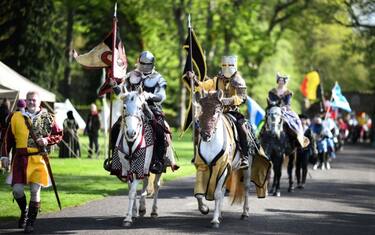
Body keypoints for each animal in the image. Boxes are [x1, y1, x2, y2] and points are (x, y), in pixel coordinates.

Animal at [117, 87, 177, 226]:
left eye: (140, 107)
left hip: (159, 166)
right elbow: (131, 189)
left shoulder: (140, 165)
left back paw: (154, 211)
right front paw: (133, 213)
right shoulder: (127, 168)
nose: (131, 133)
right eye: (124, 107)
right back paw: (142, 208)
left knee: (156, 185)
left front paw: (128, 218)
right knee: (145, 182)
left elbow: (133, 191)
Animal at [194, 89, 253, 228]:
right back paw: (220, 213)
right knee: (222, 189)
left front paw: (215, 220)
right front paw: (204, 209)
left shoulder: (223, 167)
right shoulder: (202, 166)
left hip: (246, 168)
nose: (205, 135)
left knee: (246, 187)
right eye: (200, 111)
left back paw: (245, 213)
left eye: (216, 111)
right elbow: (199, 194)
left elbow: (217, 194)